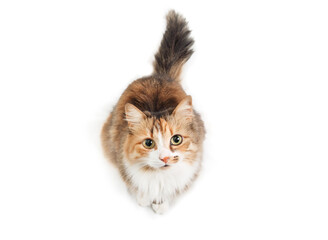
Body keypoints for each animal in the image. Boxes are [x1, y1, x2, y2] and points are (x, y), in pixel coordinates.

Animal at [102, 10, 205, 215]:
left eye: (176, 139)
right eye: (149, 143)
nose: (165, 158)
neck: (159, 177)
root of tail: (160, 75)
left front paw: (161, 204)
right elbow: (138, 188)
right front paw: (143, 199)